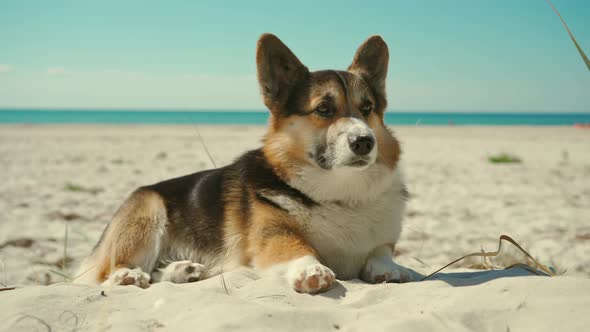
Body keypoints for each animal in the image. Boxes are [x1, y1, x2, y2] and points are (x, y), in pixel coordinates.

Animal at [76, 33, 414, 294]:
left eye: (367, 108)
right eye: (323, 109)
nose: (364, 141)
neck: (341, 193)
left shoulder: (382, 241)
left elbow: (381, 254)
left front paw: (392, 269)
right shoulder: (272, 235)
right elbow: (297, 247)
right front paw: (310, 270)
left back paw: (184, 271)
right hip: (149, 211)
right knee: (111, 271)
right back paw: (129, 275)